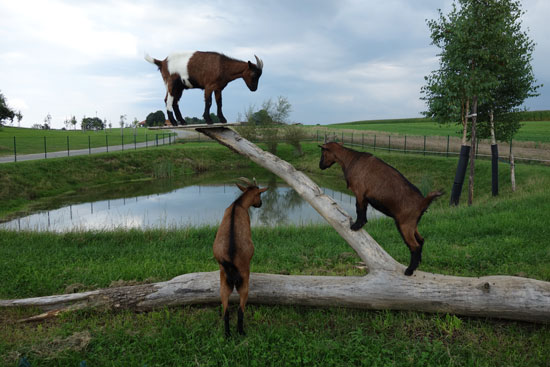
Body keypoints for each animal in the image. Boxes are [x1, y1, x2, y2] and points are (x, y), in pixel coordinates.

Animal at [213, 178, 270, 336]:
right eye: (259, 194)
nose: (260, 204)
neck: (238, 205)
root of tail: (230, 262)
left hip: (224, 283)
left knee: (226, 311)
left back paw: (227, 335)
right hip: (244, 282)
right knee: (240, 310)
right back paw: (241, 332)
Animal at [320, 143, 444, 276]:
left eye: (323, 153)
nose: (320, 166)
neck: (351, 159)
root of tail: (423, 202)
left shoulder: (359, 192)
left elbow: (360, 209)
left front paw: (356, 226)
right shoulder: (363, 196)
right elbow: (363, 210)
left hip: (405, 225)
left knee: (414, 246)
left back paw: (409, 270)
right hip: (412, 224)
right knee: (421, 241)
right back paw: (417, 265)